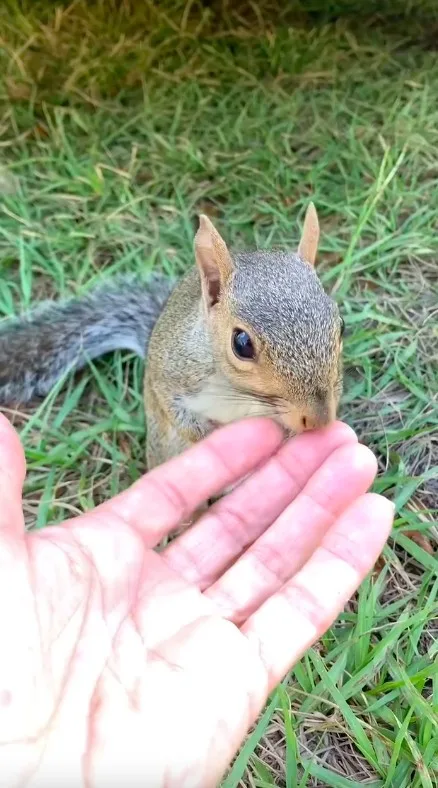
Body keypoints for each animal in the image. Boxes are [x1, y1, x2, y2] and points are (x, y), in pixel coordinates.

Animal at [0, 200, 344, 478]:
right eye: (242, 344)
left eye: (340, 326)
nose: (318, 420)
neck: (235, 391)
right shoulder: (172, 374)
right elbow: (175, 410)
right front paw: (208, 436)